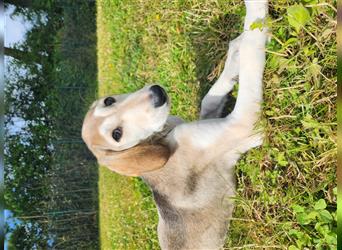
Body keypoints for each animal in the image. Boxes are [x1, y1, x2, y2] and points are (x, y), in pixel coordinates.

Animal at [82, 0, 268, 249]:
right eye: (117, 134)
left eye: (109, 100)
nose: (157, 93)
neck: (162, 137)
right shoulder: (241, 124)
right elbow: (251, 49)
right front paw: (256, 13)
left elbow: (210, 96)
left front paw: (234, 54)